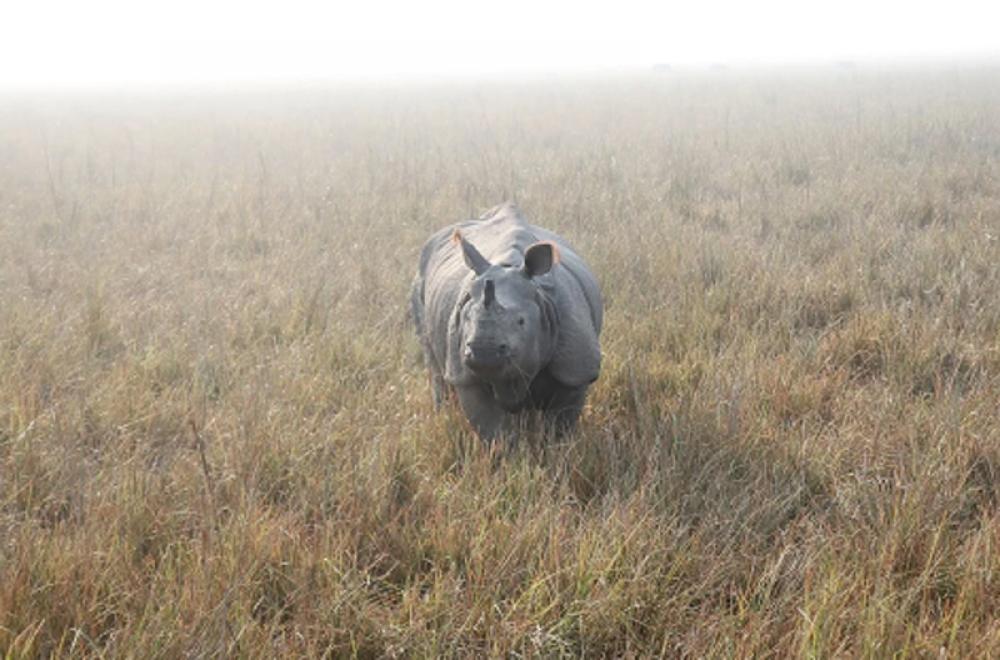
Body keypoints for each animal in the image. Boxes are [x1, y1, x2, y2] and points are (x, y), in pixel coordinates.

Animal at [412, 204, 604, 440]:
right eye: (466, 318)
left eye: (521, 321)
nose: (483, 351)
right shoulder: (465, 374)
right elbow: (492, 427)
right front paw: (505, 449)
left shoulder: (575, 369)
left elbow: (560, 421)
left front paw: (556, 446)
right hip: (419, 282)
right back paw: (443, 417)